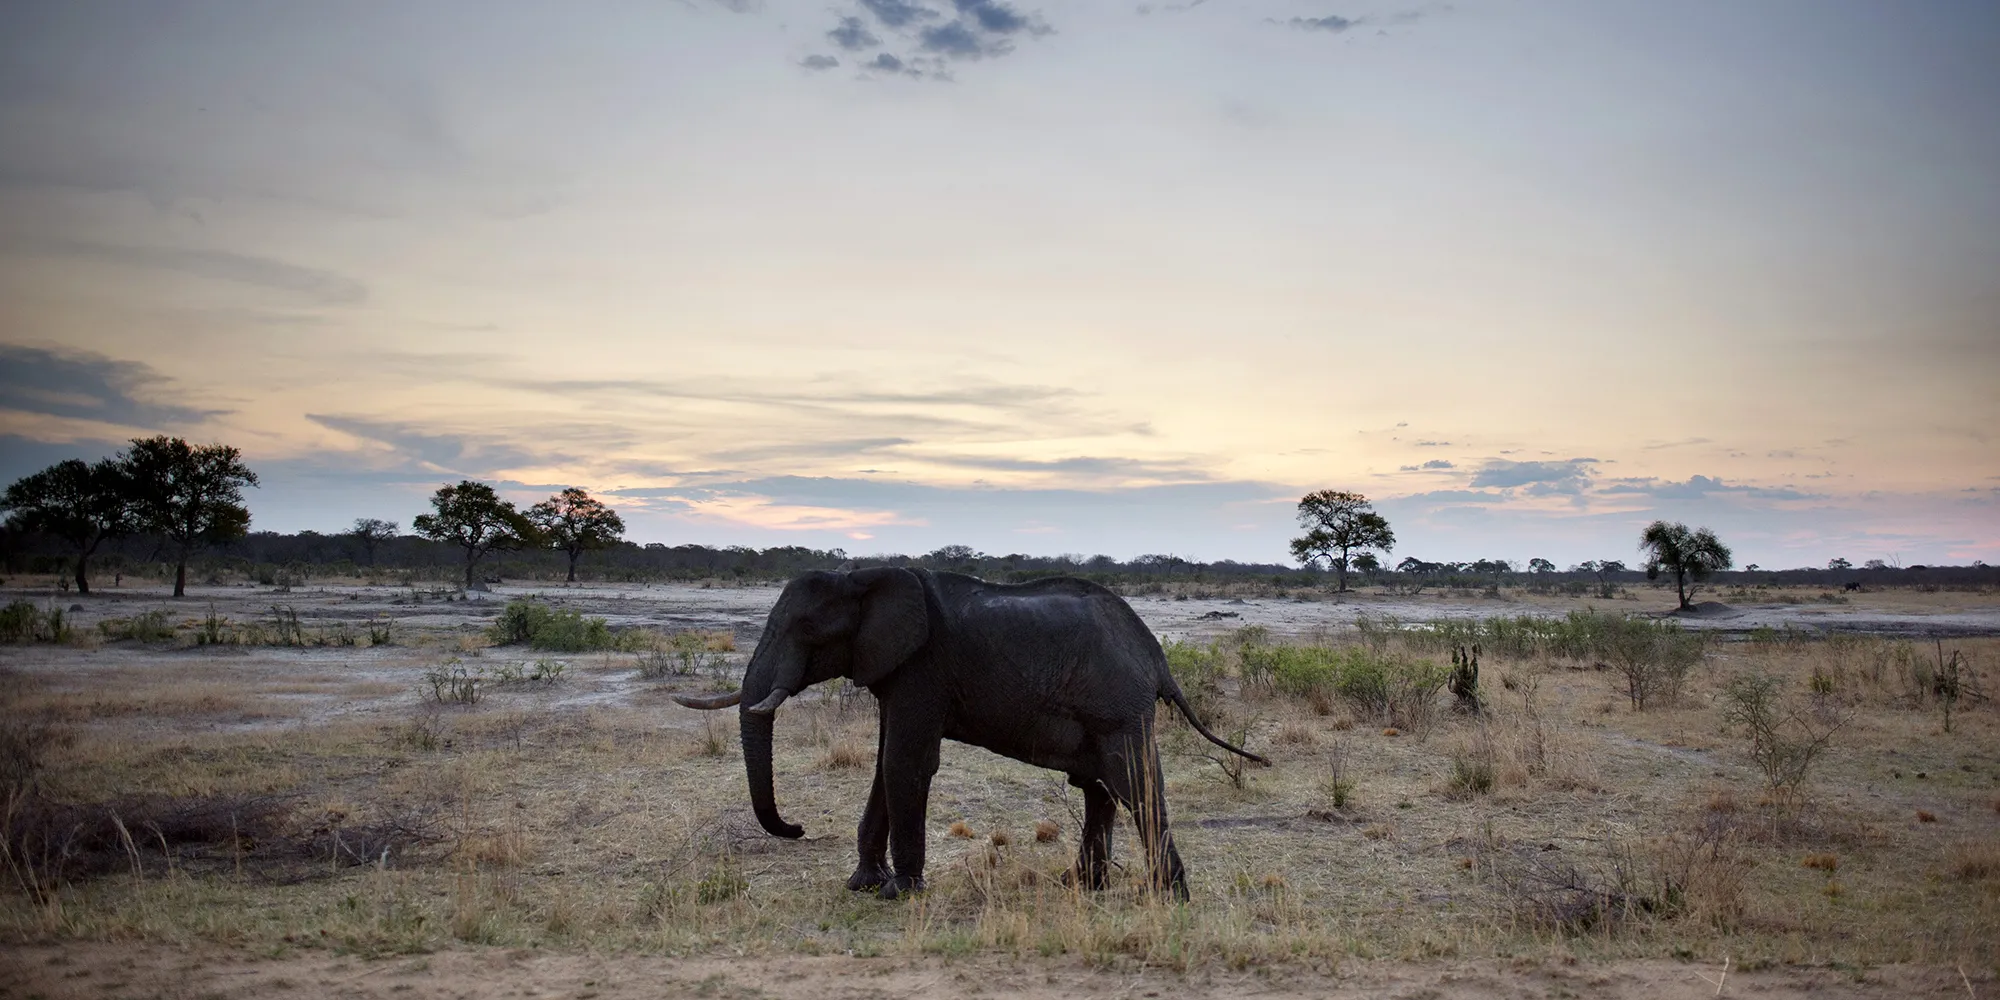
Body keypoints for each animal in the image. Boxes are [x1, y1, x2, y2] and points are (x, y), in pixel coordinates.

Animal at [672, 567, 1267, 900]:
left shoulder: (923, 667)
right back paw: (1081, 887)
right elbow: (886, 762)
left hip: (1119, 707)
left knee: (1136, 785)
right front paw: (862, 885)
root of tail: (1158, 655)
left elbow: (905, 762)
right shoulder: (896, 670)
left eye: (808, 630)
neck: (863, 577)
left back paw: (1170, 898)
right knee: (1099, 790)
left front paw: (898, 893)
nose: (797, 828)